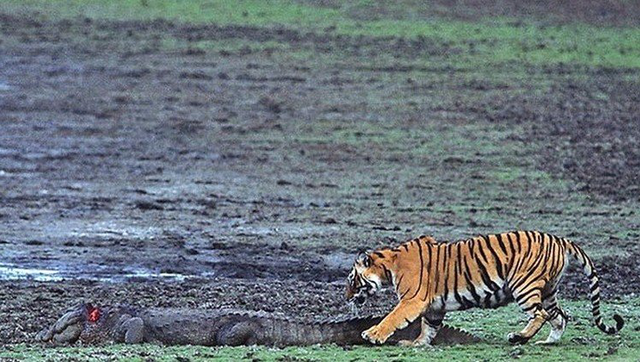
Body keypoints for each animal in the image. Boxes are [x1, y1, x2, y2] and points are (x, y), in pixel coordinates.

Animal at [348, 230, 624, 346]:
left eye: (352, 280)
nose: (347, 297)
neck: (389, 265)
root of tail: (560, 239)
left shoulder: (412, 300)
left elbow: (392, 318)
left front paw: (372, 334)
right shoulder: (434, 307)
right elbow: (429, 327)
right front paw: (417, 344)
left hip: (524, 285)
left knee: (541, 315)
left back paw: (519, 337)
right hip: (548, 290)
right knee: (560, 316)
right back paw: (546, 343)